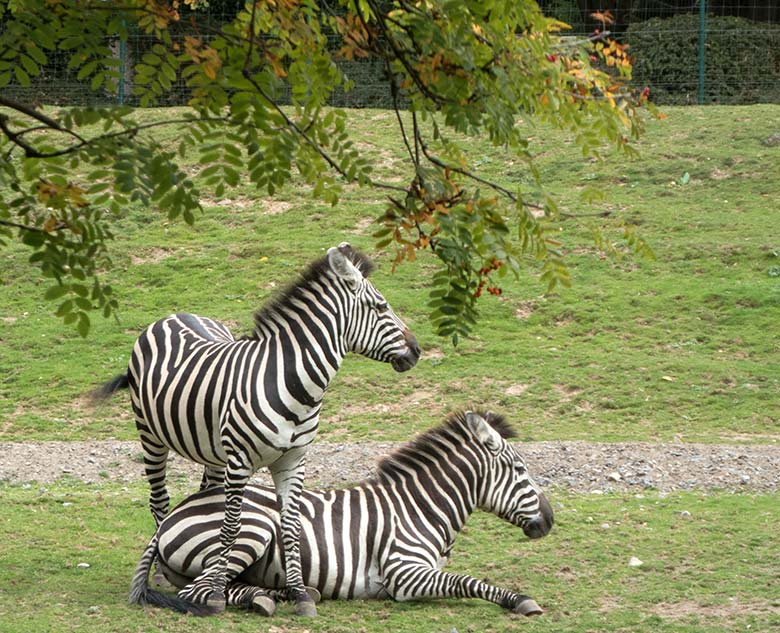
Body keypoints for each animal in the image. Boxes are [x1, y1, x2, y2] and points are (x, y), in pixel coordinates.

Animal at [97, 241, 420, 612]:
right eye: (381, 306)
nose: (417, 350)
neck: (291, 382)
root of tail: (172, 315)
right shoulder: (239, 461)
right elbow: (231, 526)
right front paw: (217, 592)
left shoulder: (293, 459)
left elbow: (291, 527)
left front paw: (299, 594)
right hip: (150, 435)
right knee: (159, 501)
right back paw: (163, 571)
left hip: (212, 450)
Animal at [129, 412, 556, 616]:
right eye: (520, 470)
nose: (551, 520)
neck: (421, 507)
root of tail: (174, 515)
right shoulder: (404, 575)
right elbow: (468, 581)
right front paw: (519, 600)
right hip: (254, 528)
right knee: (200, 591)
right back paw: (269, 599)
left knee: (221, 586)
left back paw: (284, 594)